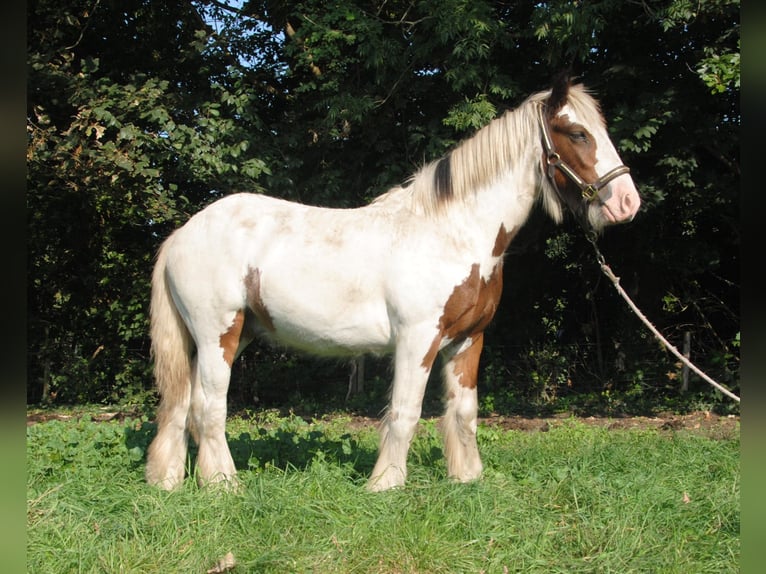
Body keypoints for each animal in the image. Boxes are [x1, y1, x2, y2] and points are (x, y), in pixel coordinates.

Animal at [146, 76, 640, 492]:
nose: (627, 202)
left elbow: (464, 412)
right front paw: (385, 484)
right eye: (576, 133)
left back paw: (168, 481)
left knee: (182, 404)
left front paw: (467, 479)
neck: (452, 231)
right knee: (208, 408)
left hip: (222, 337)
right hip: (219, 334)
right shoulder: (417, 339)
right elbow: (406, 412)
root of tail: (180, 235)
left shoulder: (468, 340)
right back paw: (223, 485)